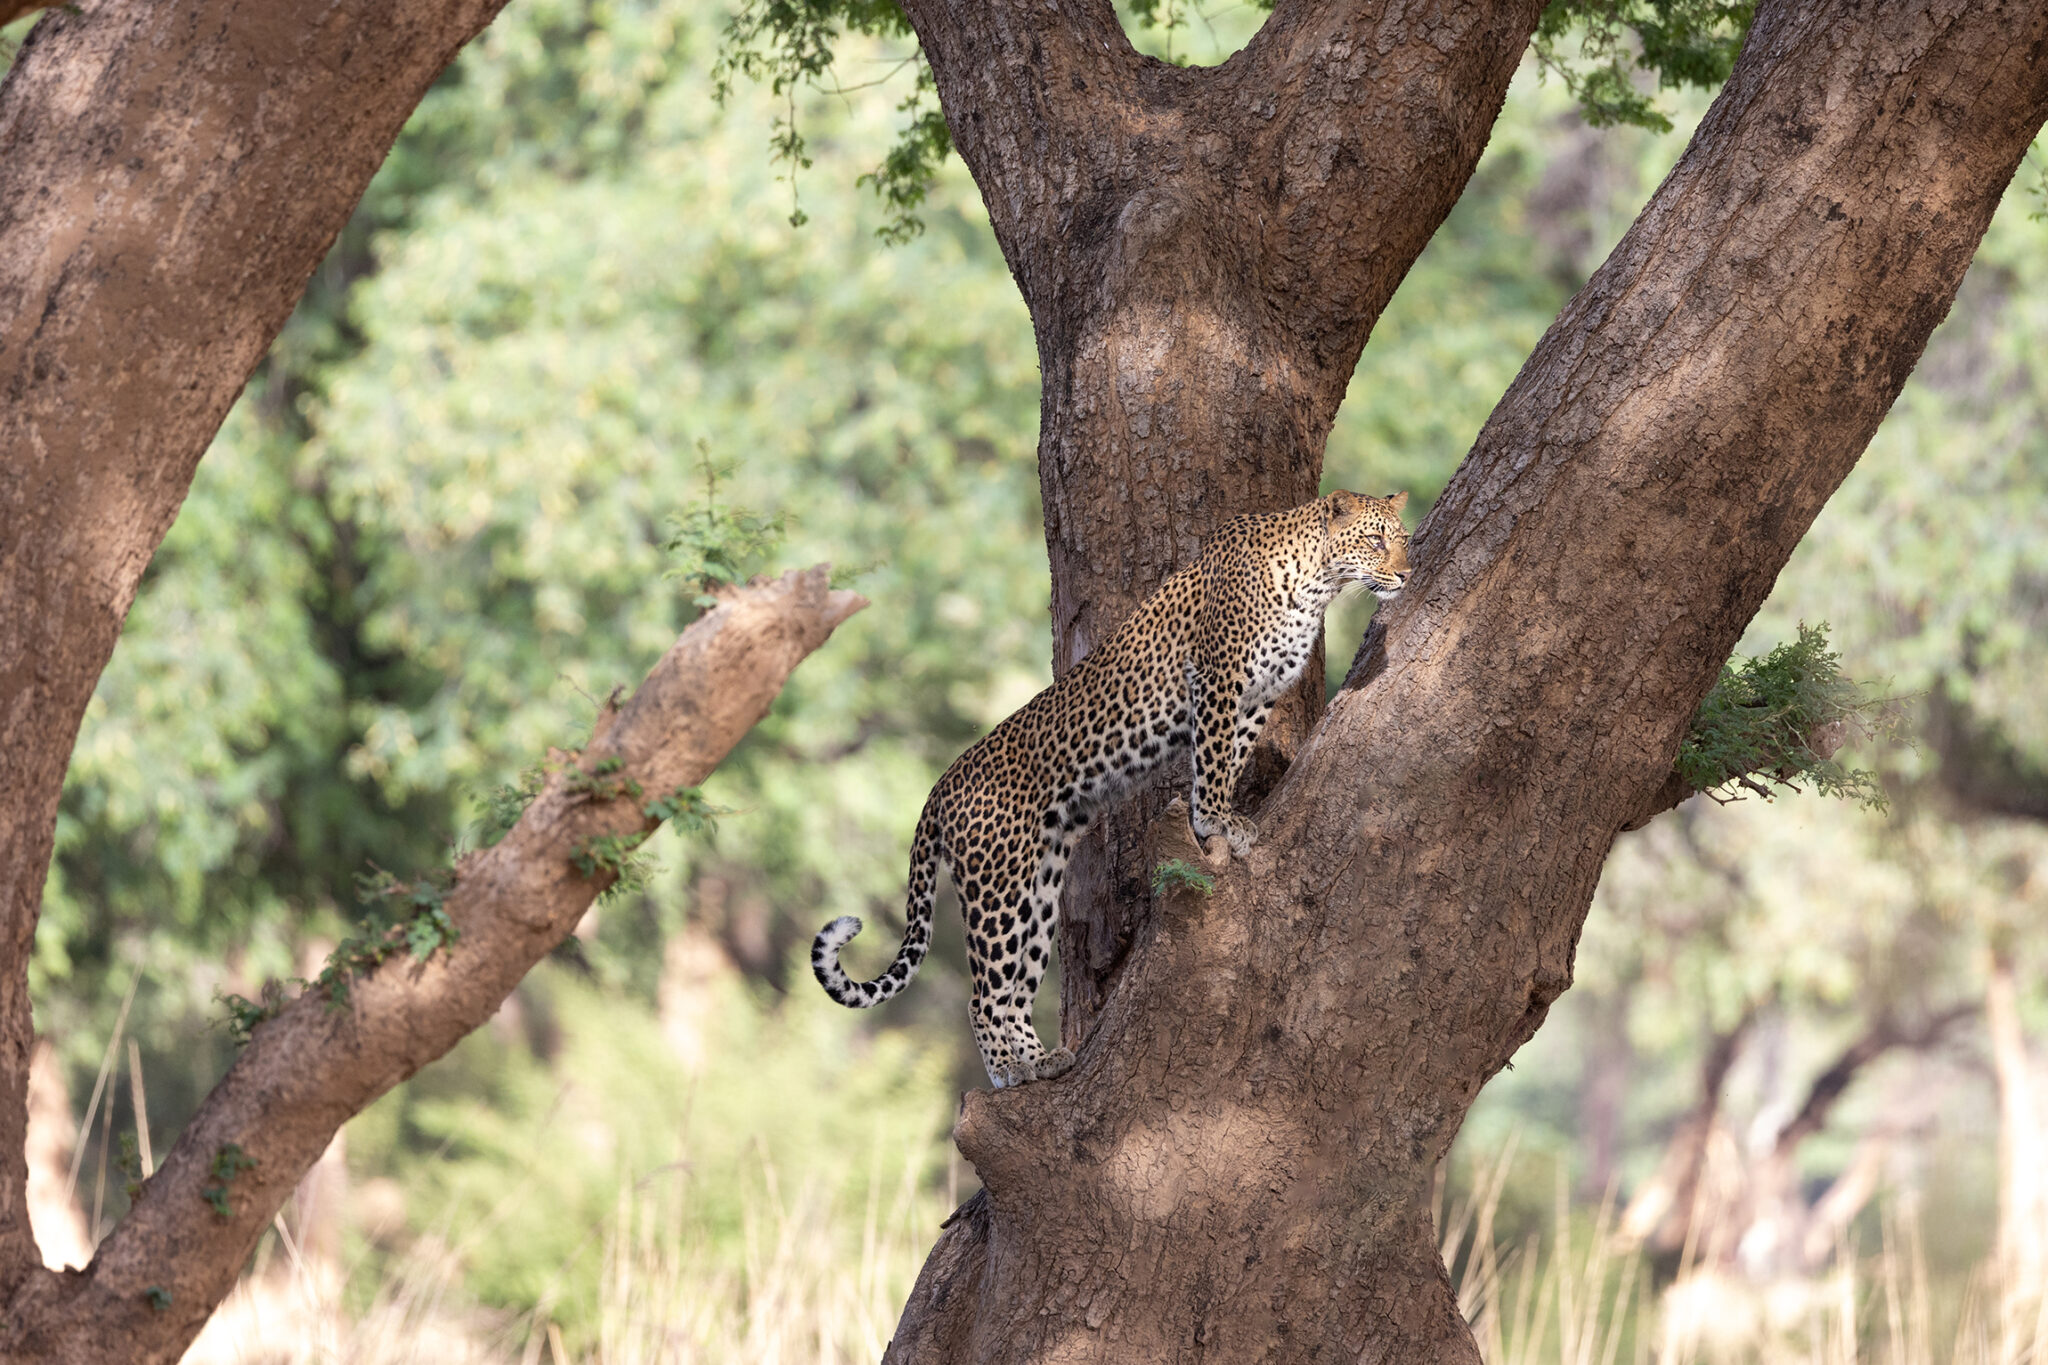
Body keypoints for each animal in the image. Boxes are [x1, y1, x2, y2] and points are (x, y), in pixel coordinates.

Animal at [811, 490, 1412, 1088]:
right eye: (1375, 540)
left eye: (1403, 540)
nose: (1406, 575)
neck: (1318, 583)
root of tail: (941, 784)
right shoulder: (1218, 679)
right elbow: (1214, 755)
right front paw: (1215, 818)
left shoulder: (1259, 696)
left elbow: (1231, 756)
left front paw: (1221, 815)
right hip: (995, 888)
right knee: (983, 995)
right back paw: (1007, 1068)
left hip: (1039, 887)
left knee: (1017, 987)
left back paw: (1042, 1059)